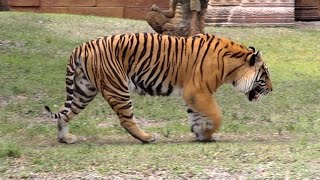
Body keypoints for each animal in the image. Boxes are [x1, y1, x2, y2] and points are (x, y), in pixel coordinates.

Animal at [43, 32, 272, 143]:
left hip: (84, 90)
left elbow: (196, 117)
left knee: (65, 113)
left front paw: (201, 135)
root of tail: (81, 47)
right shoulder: (198, 92)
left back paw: (65, 139)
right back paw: (147, 138)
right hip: (117, 88)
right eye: (265, 76)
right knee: (126, 119)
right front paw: (207, 133)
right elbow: (216, 116)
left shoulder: (193, 95)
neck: (232, 67)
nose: (272, 90)